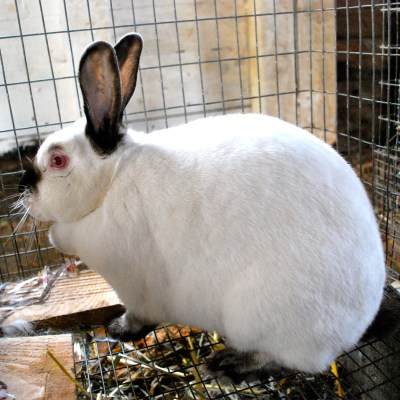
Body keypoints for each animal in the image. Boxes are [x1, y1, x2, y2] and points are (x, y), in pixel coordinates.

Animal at [18, 33, 388, 381]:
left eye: (57, 161)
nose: (25, 194)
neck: (111, 180)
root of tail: (355, 326)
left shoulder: (136, 291)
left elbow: (138, 317)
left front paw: (117, 329)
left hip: (255, 316)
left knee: (287, 359)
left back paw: (227, 364)